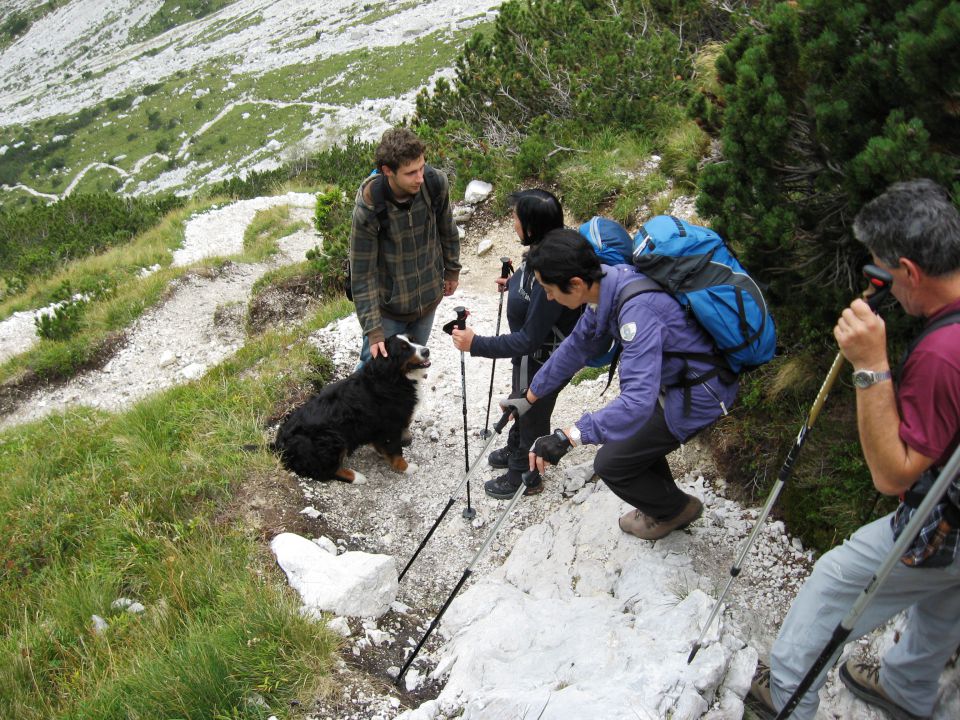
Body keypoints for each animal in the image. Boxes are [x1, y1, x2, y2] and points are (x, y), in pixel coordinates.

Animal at [274, 334, 432, 480]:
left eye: (412, 340)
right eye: (404, 349)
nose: (426, 351)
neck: (392, 378)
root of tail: (279, 444)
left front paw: (382, 453)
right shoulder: (391, 426)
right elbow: (396, 452)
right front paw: (406, 467)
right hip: (332, 438)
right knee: (326, 472)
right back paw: (357, 477)